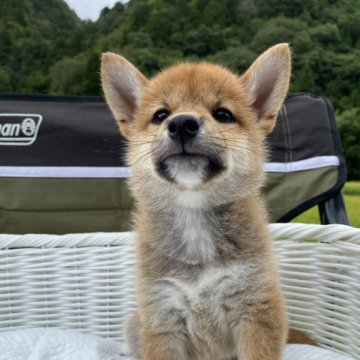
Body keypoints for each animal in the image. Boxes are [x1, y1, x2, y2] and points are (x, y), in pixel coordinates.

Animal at [102, 43, 292, 358]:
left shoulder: (254, 307)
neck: (195, 220)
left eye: (223, 114)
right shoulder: (163, 314)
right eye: (160, 115)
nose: (181, 124)